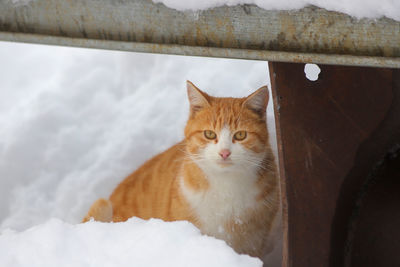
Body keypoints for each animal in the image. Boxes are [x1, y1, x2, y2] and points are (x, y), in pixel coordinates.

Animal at [83, 80, 280, 262]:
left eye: (240, 135)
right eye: (209, 134)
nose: (224, 153)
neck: (226, 186)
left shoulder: (253, 240)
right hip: (102, 206)